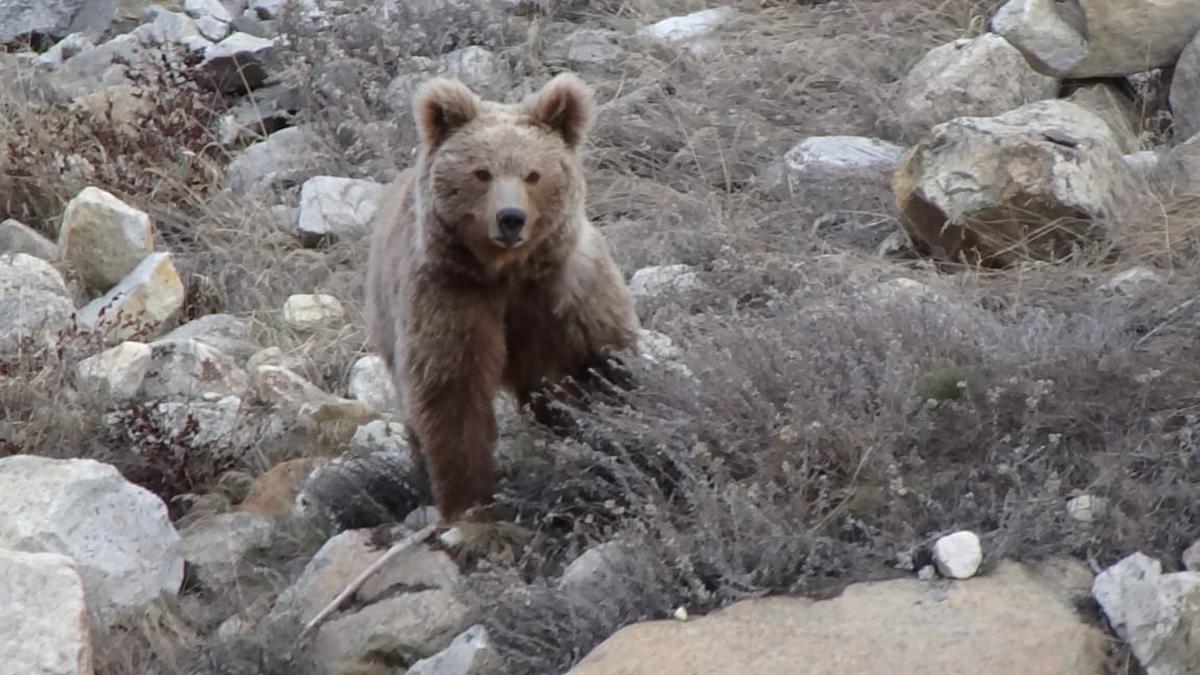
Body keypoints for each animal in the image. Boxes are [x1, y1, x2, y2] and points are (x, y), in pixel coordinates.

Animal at [364, 72, 640, 523]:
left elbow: (602, 361)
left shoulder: (567, 286)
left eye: (533, 174)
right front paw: (468, 502)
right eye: (482, 173)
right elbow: (452, 396)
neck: (508, 271)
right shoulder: (452, 294)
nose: (511, 218)